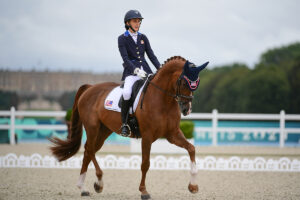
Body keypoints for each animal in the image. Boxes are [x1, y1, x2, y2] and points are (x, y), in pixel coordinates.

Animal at [49, 55, 209, 199]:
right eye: (184, 83)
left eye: (197, 83)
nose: (187, 109)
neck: (163, 99)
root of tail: (90, 88)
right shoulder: (147, 136)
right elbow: (145, 163)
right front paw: (144, 191)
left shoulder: (172, 134)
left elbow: (191, 148)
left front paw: (193, 186)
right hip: (92, 127)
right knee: (89, 149)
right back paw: (97, 183)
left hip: (103, 131)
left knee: (89, 151)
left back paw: (85, 188)